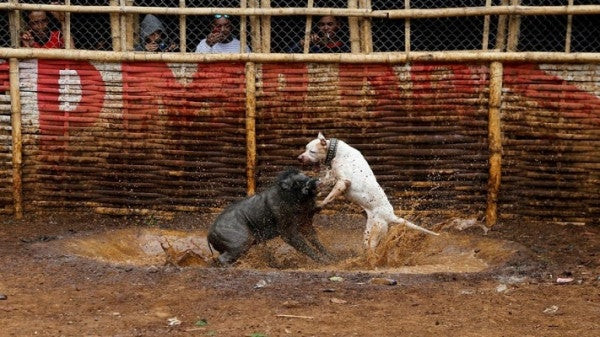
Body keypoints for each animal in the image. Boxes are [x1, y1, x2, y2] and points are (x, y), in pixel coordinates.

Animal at [298, 133, 438, 251]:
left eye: (312, 151)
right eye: (305, 148)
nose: (299, 158)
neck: (336, 152)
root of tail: (390, 215)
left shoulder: (343, 182)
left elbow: (329, 197)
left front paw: (319, 205)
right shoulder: (332, 177)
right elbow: (322, 184)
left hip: (375, 230)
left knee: (372, 249)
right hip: (371, 231)